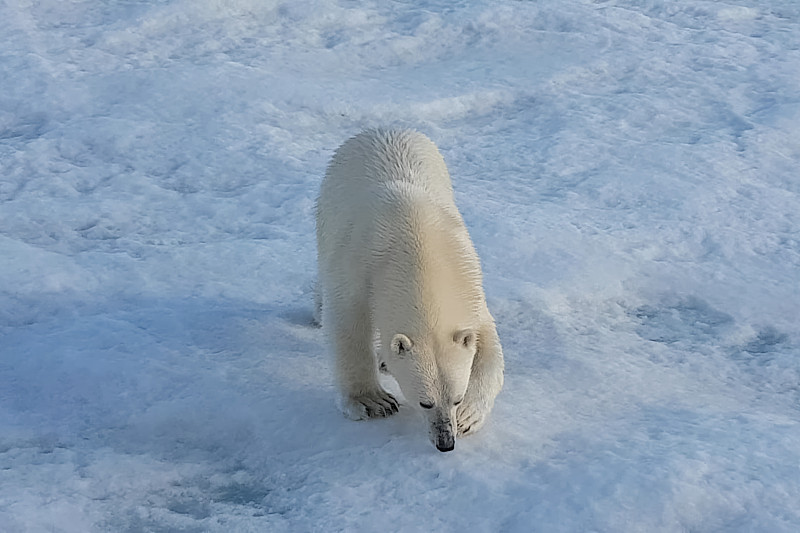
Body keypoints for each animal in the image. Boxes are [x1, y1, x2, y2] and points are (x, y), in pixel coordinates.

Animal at [316, 128, 504, 448]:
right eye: (425, 402)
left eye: (456, 398)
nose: (446, 442)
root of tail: (382, 128)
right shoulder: (359, 264)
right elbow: (348, 323)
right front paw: (371, 401)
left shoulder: (467, 279)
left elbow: (487, 342)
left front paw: (469, 417)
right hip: (329, 204)